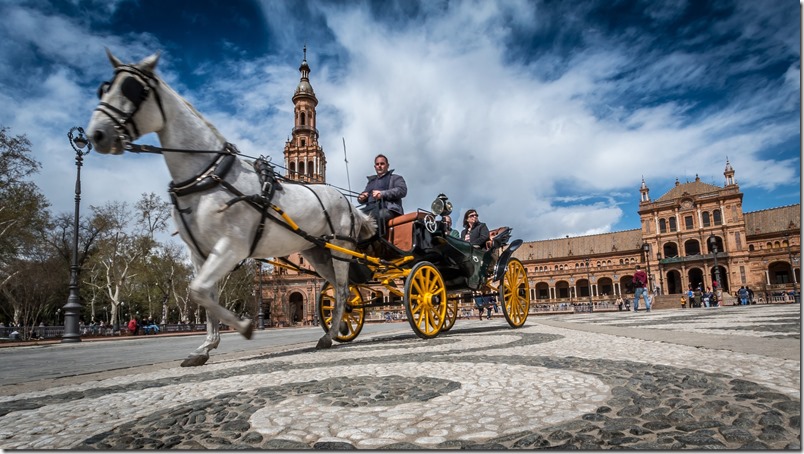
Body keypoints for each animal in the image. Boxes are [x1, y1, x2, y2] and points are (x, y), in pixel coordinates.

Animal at [86, 51, 376, 368]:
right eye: (104, 88)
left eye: (132, 89)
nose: (96, 134)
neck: (208, 175)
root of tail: (347, 202)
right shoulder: (200, 254)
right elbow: (204, 295)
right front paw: (205, 347)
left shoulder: (231, 246)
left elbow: (200, 291)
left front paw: (244, 326)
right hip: (318, 253)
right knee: (339, 290)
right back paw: (340, 327)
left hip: (340, 249)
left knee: (342, 288)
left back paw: (330, 334)